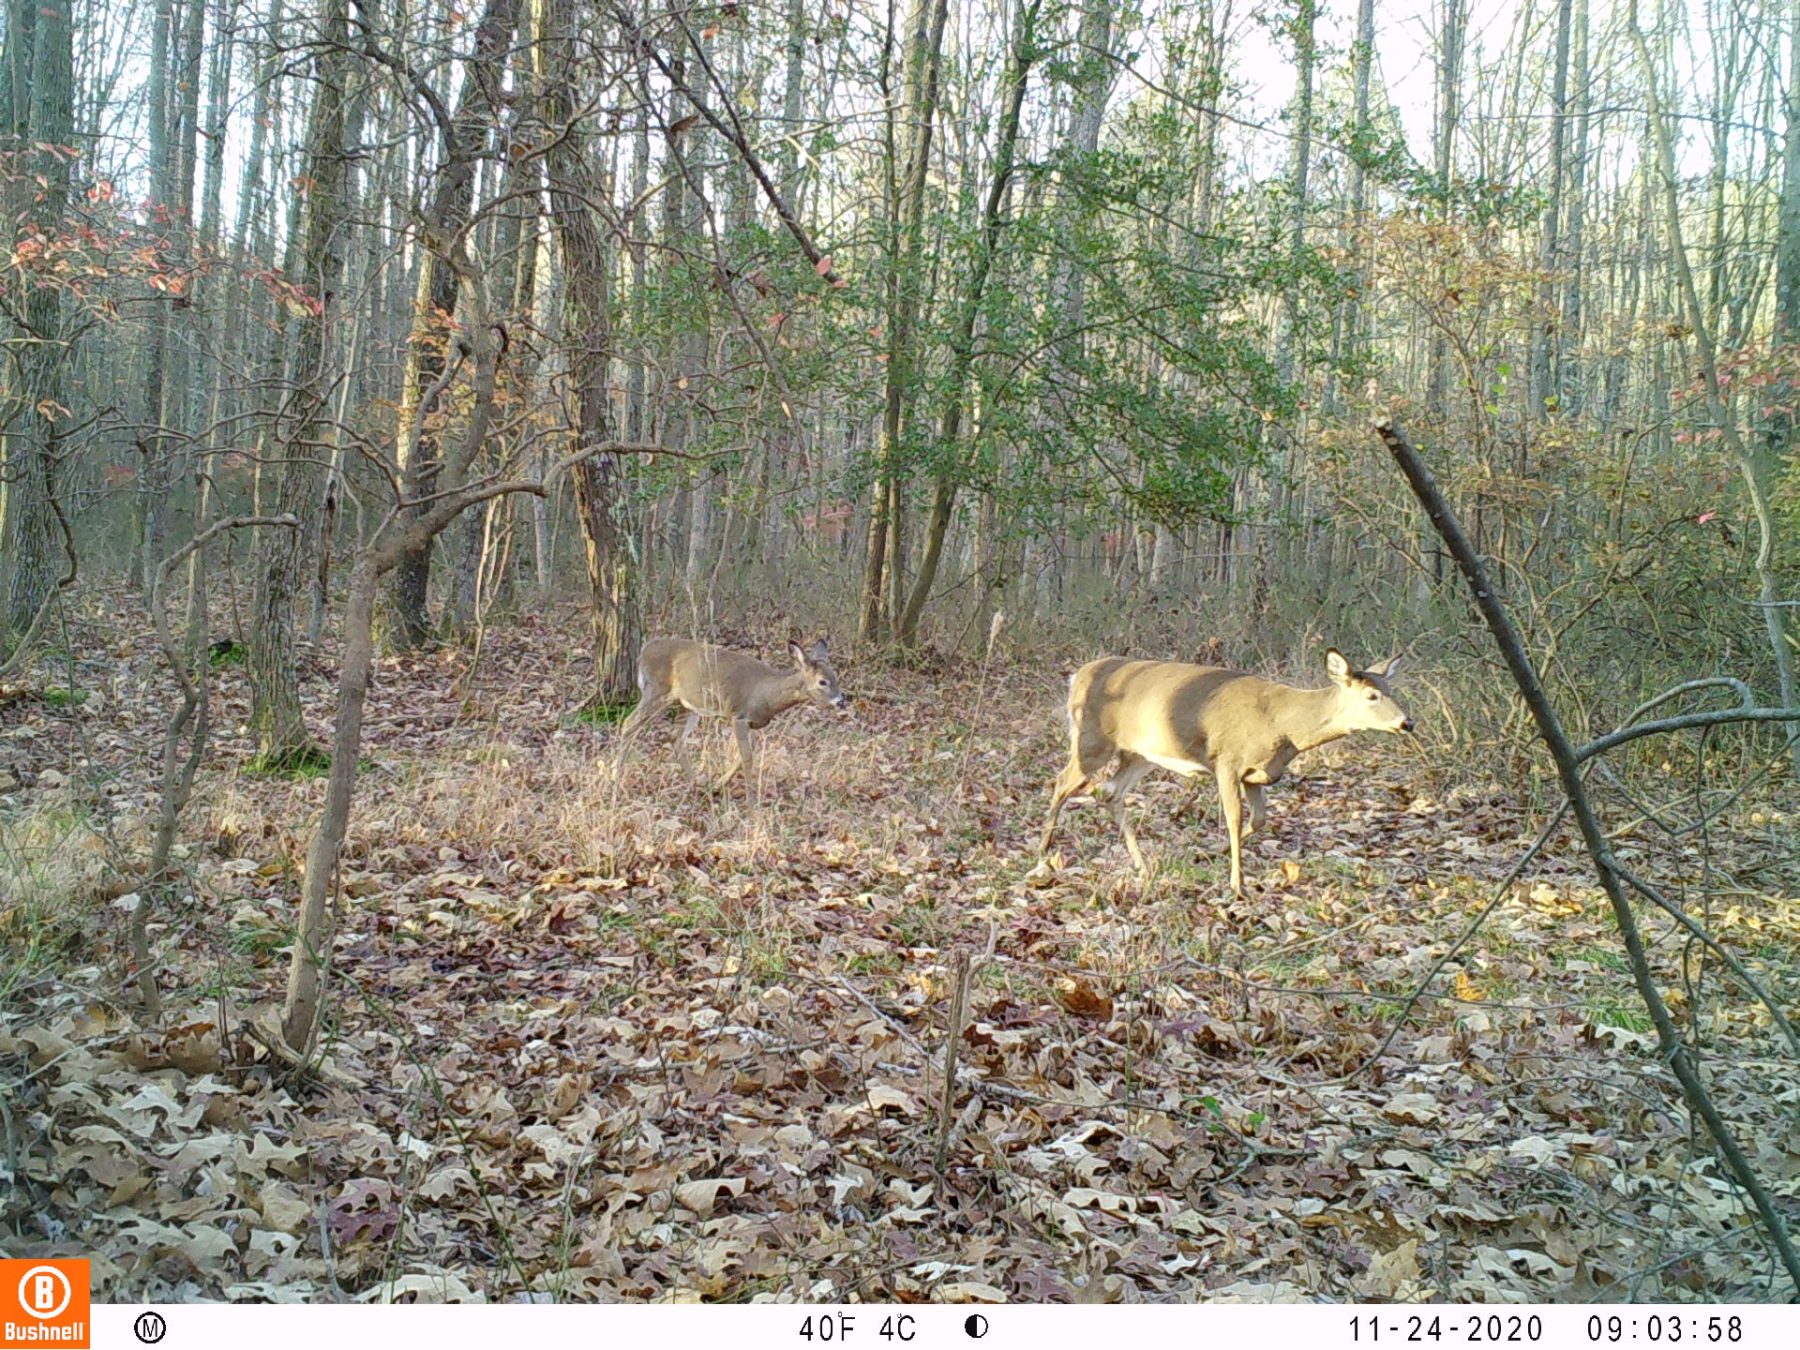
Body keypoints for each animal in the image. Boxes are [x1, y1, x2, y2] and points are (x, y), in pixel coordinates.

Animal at [615, 640, 846, 799]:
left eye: (836, 677)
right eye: (822, 682)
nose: (842, 701)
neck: (766, 693)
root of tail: (643, 652)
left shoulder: (752, 724)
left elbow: (739, 758)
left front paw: (717, 786)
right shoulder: (739, 716)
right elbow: (747, 758)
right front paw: (752, 803)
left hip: (687, 704)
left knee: (676, 737)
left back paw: (696, 783)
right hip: (657, 690)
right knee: (629, 724)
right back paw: (615, 777)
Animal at [1036, 648, 1411, 892]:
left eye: (1390, 689)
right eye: (1372, 696)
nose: (1407, 723)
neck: (1283, 724)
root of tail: (1077, 676)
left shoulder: (1256, 774)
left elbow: (1258, 819)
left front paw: (1210, 854)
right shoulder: (1227, 760)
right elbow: (1233, 817)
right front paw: (1237, 883)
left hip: (1140, 753)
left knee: (1110, 792)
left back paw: (1141, 863)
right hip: (1091, 741)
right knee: (1062, 782)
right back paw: (1042, 855)